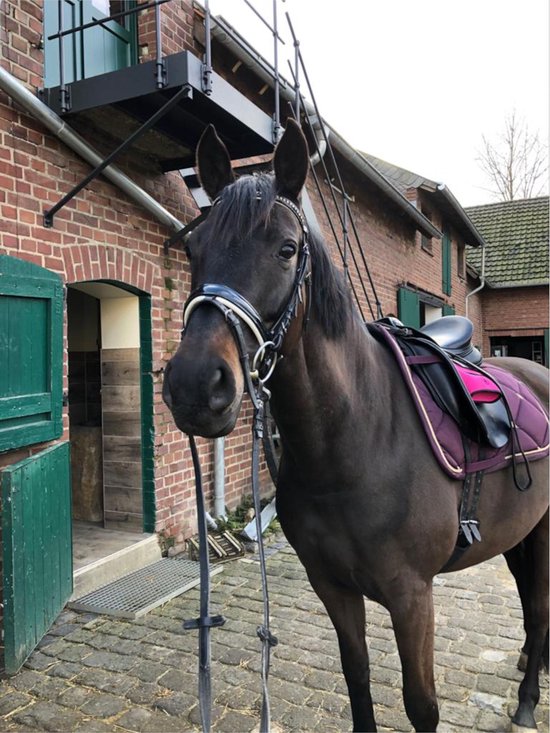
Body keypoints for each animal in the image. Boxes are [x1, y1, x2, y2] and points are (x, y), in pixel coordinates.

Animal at [163, 119, 549, 732]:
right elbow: (357, 677)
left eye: (287, 248)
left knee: (538, 610)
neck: (354, 444)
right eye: (192, 247)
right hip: (520, 531)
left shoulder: (413, 597)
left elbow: (421, 705)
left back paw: (528, 701)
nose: (197, 385)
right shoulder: (333, 588)